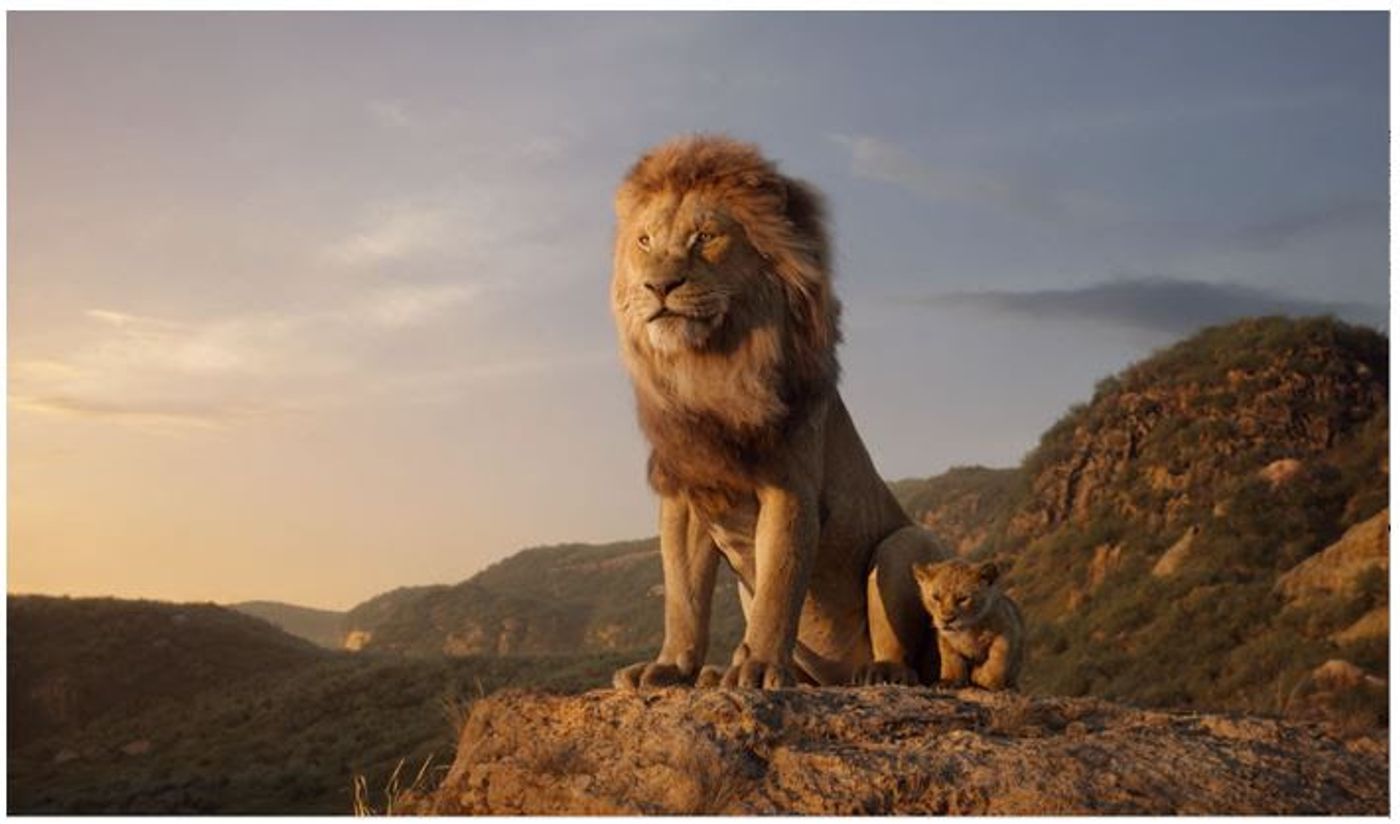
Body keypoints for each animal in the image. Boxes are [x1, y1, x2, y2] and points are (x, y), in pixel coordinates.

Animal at [608, 134, 950, 690]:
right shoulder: (686, 495)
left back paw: (879, 672)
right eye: (644, 241)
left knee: (907, 651)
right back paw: (717, 673)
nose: (658, 286)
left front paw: (760, 667)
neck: (709, 368)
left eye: (705, 237)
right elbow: (683, 596)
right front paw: (671, 667)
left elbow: (779, 586)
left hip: (905, 544)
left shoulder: (789, 487)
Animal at [912, 559, 1024, 690]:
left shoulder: (1006, 629)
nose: (947, 620)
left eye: (963, 599)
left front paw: (986, 680)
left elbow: (997, 658)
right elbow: (951, 659)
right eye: (936, 597)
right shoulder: (946, 639)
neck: (967, 629)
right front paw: (950, 680)